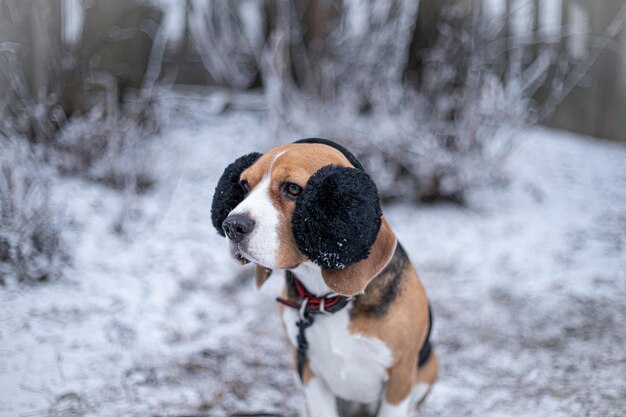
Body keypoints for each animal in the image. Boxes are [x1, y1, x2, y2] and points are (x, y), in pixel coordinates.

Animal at [210, 140, 434, 416]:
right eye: (244, 185)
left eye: (293, 189)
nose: (231, 225)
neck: (327, 298)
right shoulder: (310, 372)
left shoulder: (400, 377)